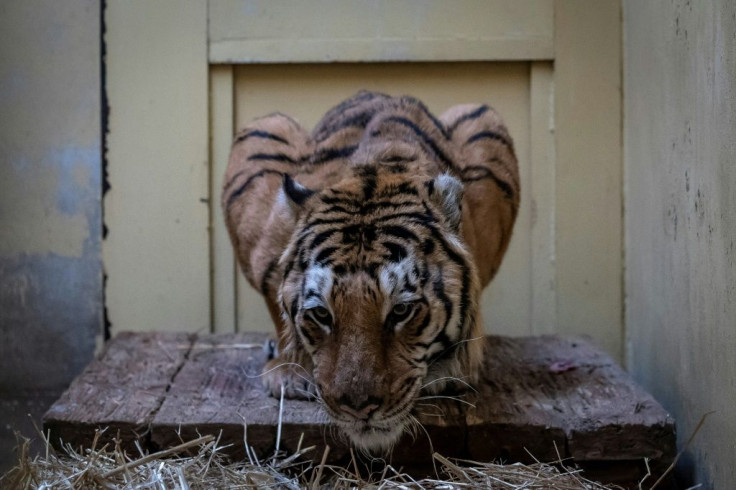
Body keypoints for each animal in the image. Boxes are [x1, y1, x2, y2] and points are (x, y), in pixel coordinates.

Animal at [223, 92, 516, 452]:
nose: (358, 407)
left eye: (402, 311)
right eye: (321, 313)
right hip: (265, 127)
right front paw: (291, 373)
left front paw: (450, 372)